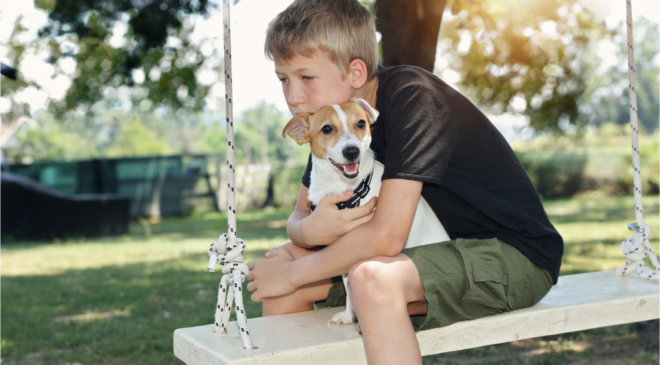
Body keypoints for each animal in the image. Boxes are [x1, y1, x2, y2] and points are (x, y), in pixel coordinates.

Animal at [282, 97, 452, 328]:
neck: (346, 188)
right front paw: (348, 315)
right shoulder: (344, 250)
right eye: (327, 128)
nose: (352, 151)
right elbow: (348, 287)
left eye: (361, 123)